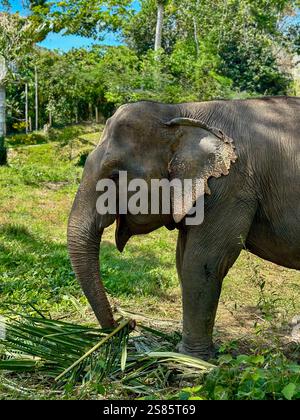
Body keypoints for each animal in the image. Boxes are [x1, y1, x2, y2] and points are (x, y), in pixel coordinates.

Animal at [68, 97, 300, 360]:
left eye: (115, 175)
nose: (127, 324)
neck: (181, 112)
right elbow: (182, 260)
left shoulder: (230, 187)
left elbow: (201, 263)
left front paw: (192, 358)